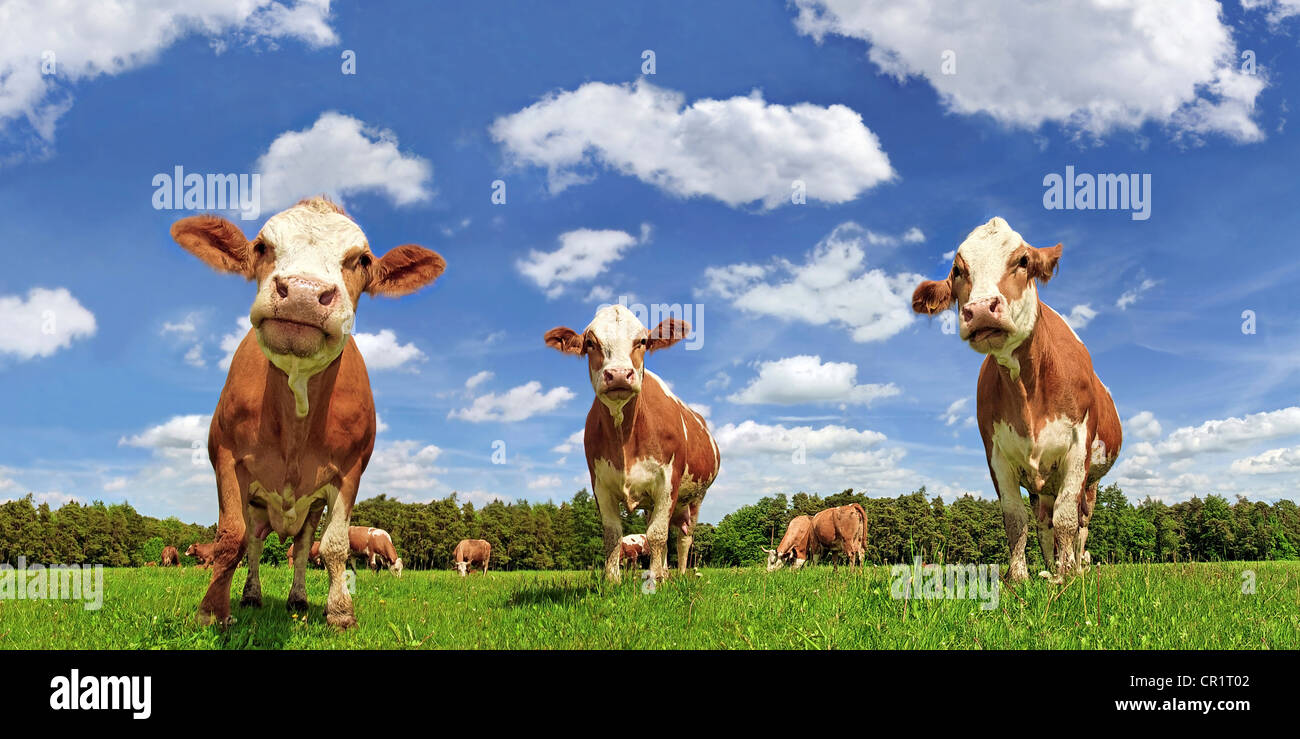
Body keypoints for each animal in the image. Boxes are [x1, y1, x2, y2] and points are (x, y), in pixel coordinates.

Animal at [170, 193, 444, 627]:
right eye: (260, 246)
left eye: (362, 259)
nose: (302, 291)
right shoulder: (225, 457)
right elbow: (230, 537)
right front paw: (212, 611)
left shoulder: (349, 471)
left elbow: (333, 546)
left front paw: (340, 613)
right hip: (259, 505)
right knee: (253, 544)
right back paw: (251, 596)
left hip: (309, 508)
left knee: (300, 547)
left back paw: (297, 598)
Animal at [540, 305, 717, 582]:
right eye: (590, 343)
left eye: (642, 341)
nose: (619, 375)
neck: (625, 438)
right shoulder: (600, 484)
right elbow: (613, 534)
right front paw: (613, 580)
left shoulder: (668, 482)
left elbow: (658, 534)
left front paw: (655, 582)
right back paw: (663, 571)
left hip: (696, 496)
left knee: (683, 538)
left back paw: (677, 573)